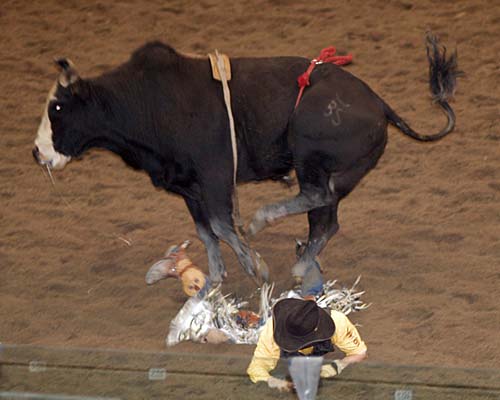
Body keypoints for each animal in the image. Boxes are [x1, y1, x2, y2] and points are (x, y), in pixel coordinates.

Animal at [33, 33, 458, 284]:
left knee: (318, 197)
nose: (37, 153)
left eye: (57, 107)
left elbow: (223, 225)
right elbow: (206, 232)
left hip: (309, 151)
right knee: (326, 220)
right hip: (344, 172)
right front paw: (214, 278)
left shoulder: (215, 175)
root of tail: (380, 105)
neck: (148, 102)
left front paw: (254, 263)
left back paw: (264, 223)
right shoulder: (188, 186)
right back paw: (303, 263)